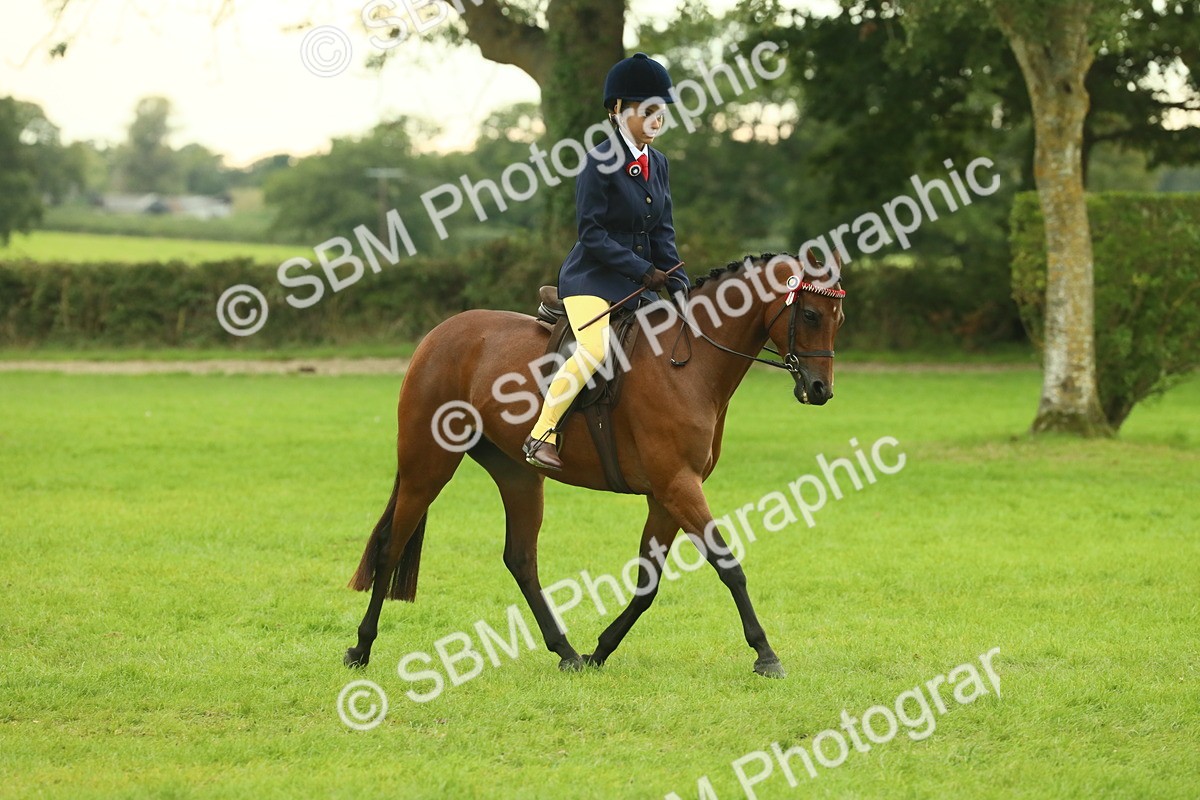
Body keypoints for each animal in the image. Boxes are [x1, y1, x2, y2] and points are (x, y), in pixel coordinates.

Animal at [344, 252, 846, 677]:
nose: (820, 390)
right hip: (428, 465)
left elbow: (647, 583)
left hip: (518, 475)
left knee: (520, 559)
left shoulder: (667, 494)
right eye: (810, 315)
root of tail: (437, 335)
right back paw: (361, 647)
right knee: (391, 547)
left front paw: (600, 650)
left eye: (838, 319)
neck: (688, 363)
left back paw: (566, 652)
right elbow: (728, 565)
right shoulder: (678, 486)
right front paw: (765, 653)